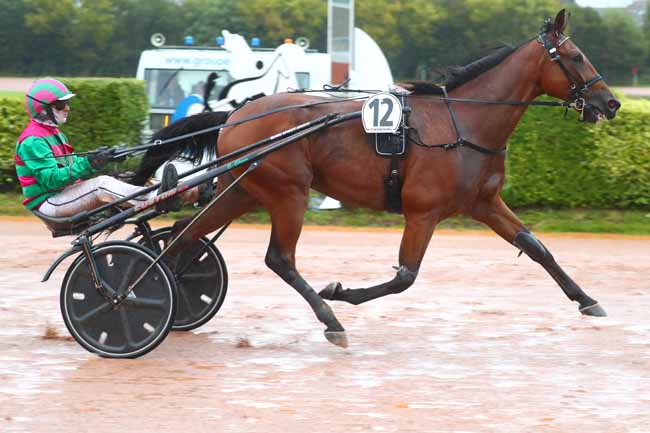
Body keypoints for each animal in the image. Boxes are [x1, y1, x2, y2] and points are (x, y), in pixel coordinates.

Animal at [130, 9, 616, 348]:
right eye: (576, 57)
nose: (610, 103)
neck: (464, 123)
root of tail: (236, 114)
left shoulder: (484, 203)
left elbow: (537, 247)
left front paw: (588, 300)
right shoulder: (423, 213)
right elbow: (405, 277)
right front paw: (341, 292)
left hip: (244, 191)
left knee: (184, 233)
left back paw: (162, 293)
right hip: (288, 192)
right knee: (279, 259)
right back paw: (329, 320)